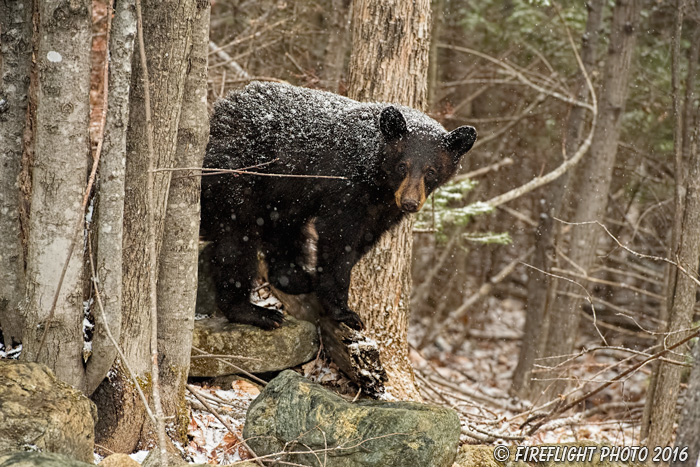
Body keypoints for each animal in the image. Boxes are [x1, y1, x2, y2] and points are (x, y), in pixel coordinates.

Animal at [200, 82, 478, 330]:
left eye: (431, 171)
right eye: (402, 166)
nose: (409, 203)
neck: (377, 182)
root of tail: (218, 113)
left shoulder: (383, 210)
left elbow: (363, 241)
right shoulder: (345, 188)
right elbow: (338, 240)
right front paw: (344, 311)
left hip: (282, 192)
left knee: (284, 229)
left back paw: (295, 277)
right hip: (238, 175)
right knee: (236, 238)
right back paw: (254, 312)